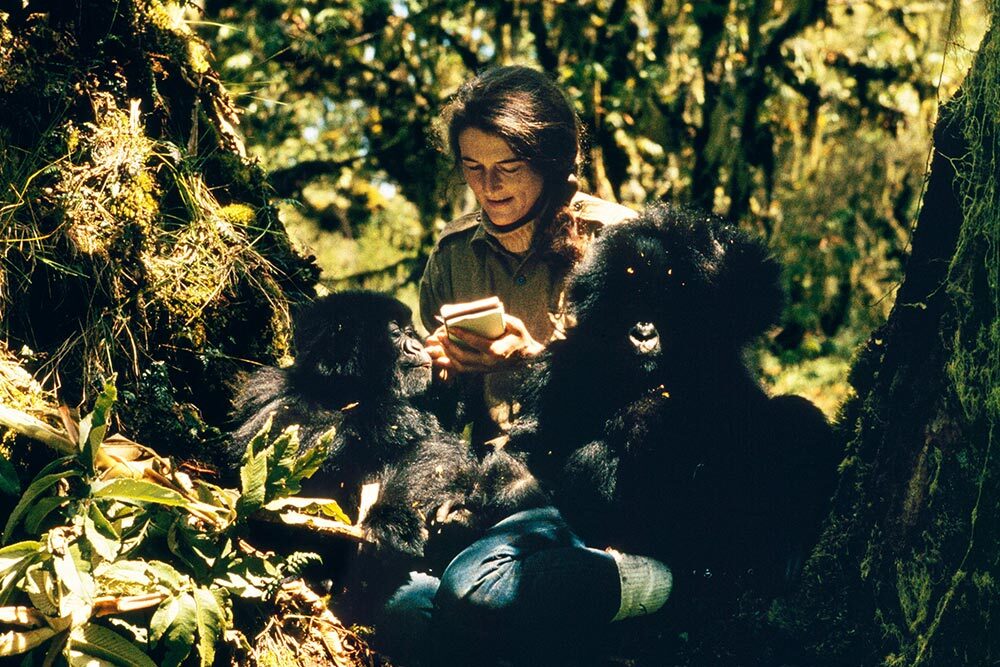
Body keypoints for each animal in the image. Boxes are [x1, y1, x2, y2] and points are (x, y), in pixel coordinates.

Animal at [512, 205, 840, 600]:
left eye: (662, 304)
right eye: (630, 302)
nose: (643, 332)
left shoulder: (723, 321)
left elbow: (746, 279)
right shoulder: (557, 369)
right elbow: (534, 451)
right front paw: (644, 416)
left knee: (791, 416)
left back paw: (787, 542)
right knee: (592, 459)